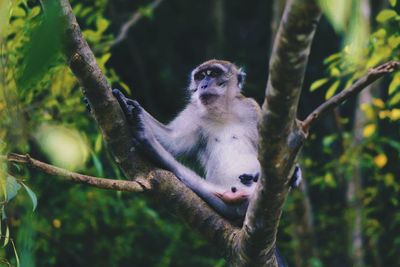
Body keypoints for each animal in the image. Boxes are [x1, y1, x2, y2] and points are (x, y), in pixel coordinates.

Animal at [111, 58, 302, 220]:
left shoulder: (251, 109)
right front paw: (130, 105)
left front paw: (295, 173)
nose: (203, 85)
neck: (222, 112)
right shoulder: (194, 112)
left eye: (214, 73)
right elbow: (172, 142)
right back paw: (145, 135)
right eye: (201, 76)